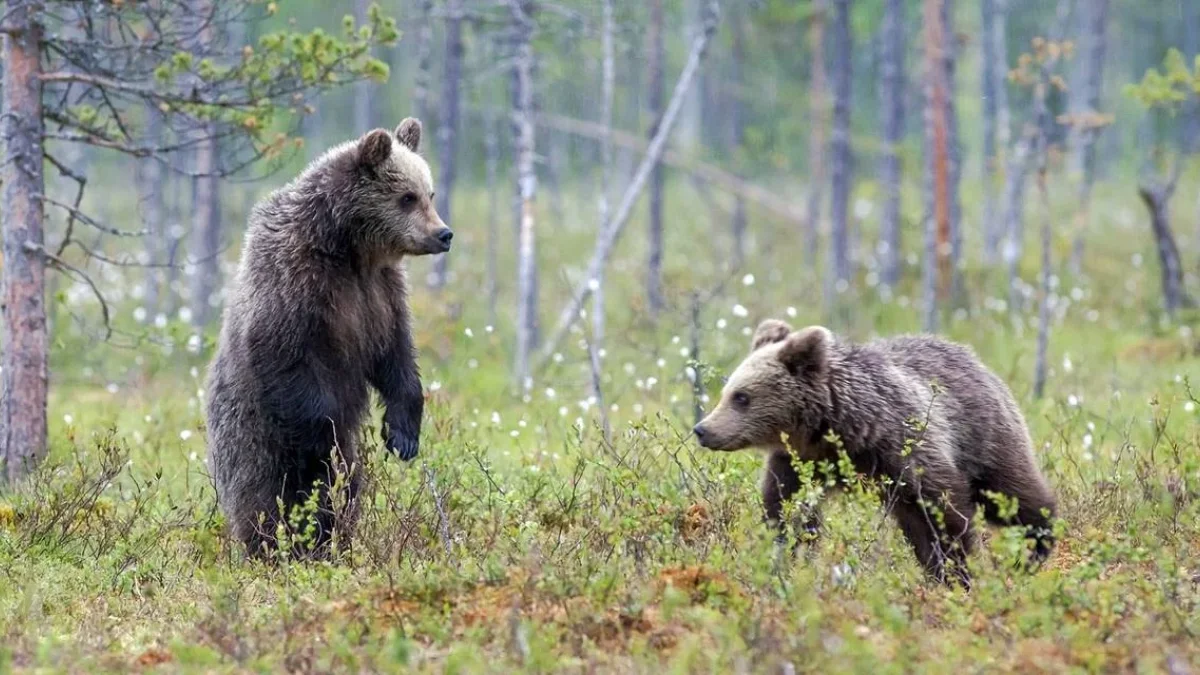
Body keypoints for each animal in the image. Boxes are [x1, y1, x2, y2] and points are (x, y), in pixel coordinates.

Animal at [204, 119, 451, 557]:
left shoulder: (380, 295)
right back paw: (273, 547)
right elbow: (288, 361)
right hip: (252, 433)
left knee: (346, 492)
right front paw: (327, 439)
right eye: (407, 197)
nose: (443, 233)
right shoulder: (296, 285)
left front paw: (403, 435)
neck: (349, 249)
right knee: (264, 494)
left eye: (429, 192)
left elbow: (397, 357)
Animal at [696, 317, 1060, 583]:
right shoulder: (800, 462)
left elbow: (942, 512)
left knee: (1012, 491)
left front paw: (956, 571)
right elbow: (787, 509)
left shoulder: (902, 446)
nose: (703, 430)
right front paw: (783, 558)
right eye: (726, 392)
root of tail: (975, 358)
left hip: (984, 436)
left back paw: (1036, 545)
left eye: (741, 397)